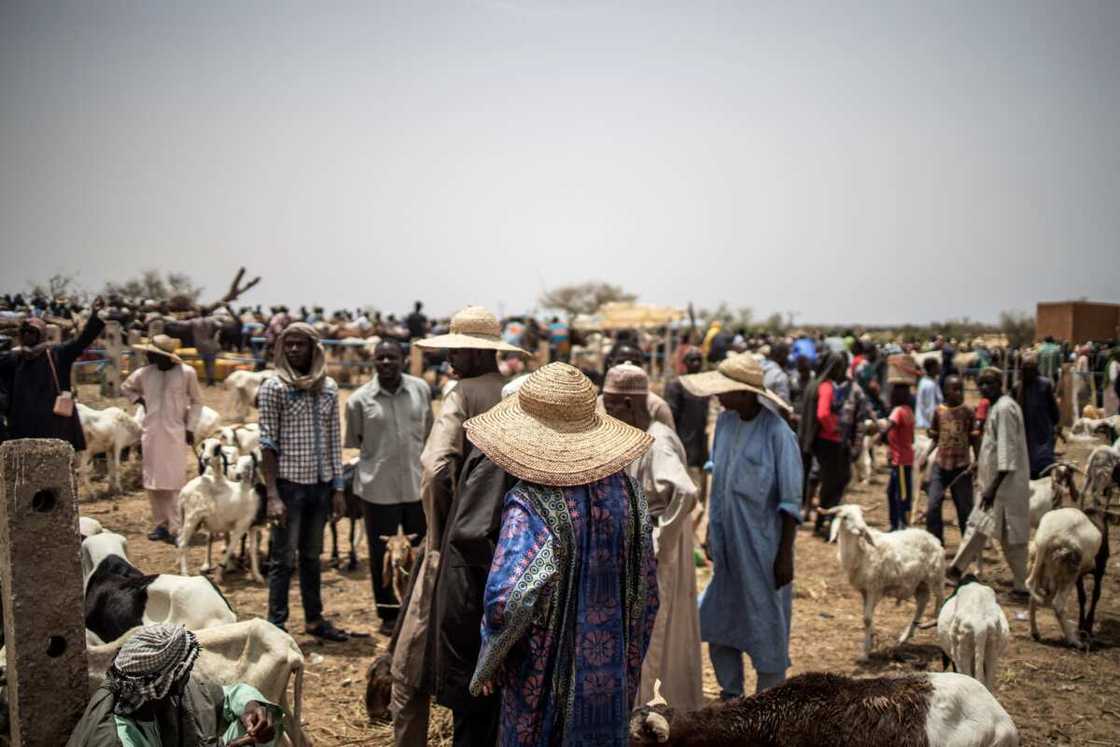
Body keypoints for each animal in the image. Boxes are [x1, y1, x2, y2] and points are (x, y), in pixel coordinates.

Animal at [828, 506, 940, 658]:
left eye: (862, 515)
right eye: (845, 517)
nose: (862, 529)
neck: (861, 553)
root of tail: (931, 536)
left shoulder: (874, 587)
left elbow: (867, 619)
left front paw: (865, 653)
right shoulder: (864, 590)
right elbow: (867, 616)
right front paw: (872, 640)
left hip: (936, 576)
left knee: (940, 601)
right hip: (919, 582)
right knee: (922, 602)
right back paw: (905, 636)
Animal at [1025, 508, 1102, 649]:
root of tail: (1046, 538)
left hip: (1039, 567)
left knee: (1032, 597)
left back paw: (1035, 633)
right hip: (1070, 571)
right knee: (1057, 604)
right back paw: (1074, 641)